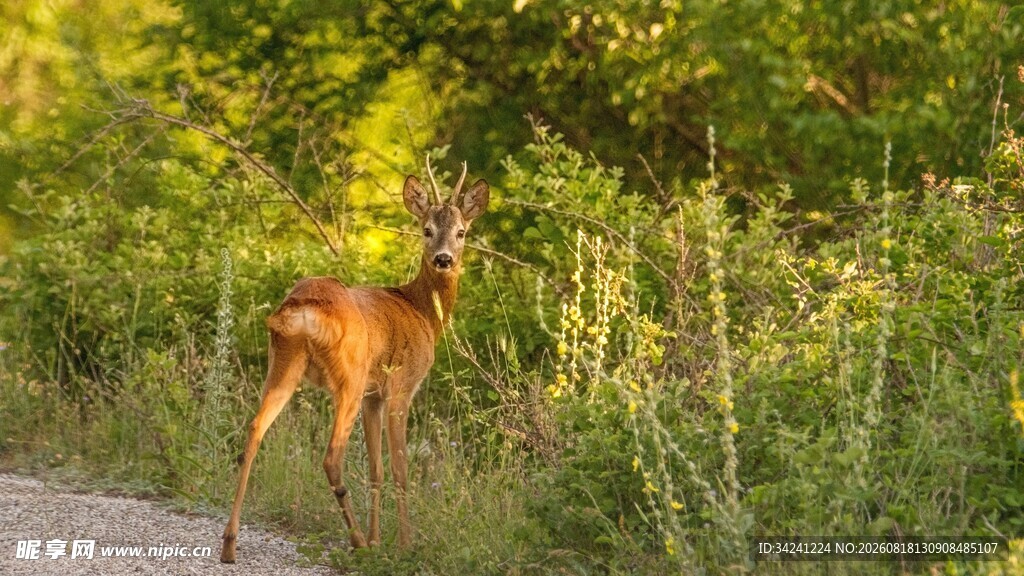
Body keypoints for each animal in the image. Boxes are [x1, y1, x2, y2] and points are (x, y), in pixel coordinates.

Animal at [220, 160, 489, 563]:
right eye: (426, 229)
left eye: (461, 232)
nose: (444, 259)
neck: (422, 311)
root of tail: (302, 309)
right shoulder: (400, 387)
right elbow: (400, 468)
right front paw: (403, 545)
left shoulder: (373, 396)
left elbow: (376, 468)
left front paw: (380, 541)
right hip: (349, 374)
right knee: (331, 457)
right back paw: (357, 542)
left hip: (283, 365)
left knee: (253, 432)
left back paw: (230, 544)